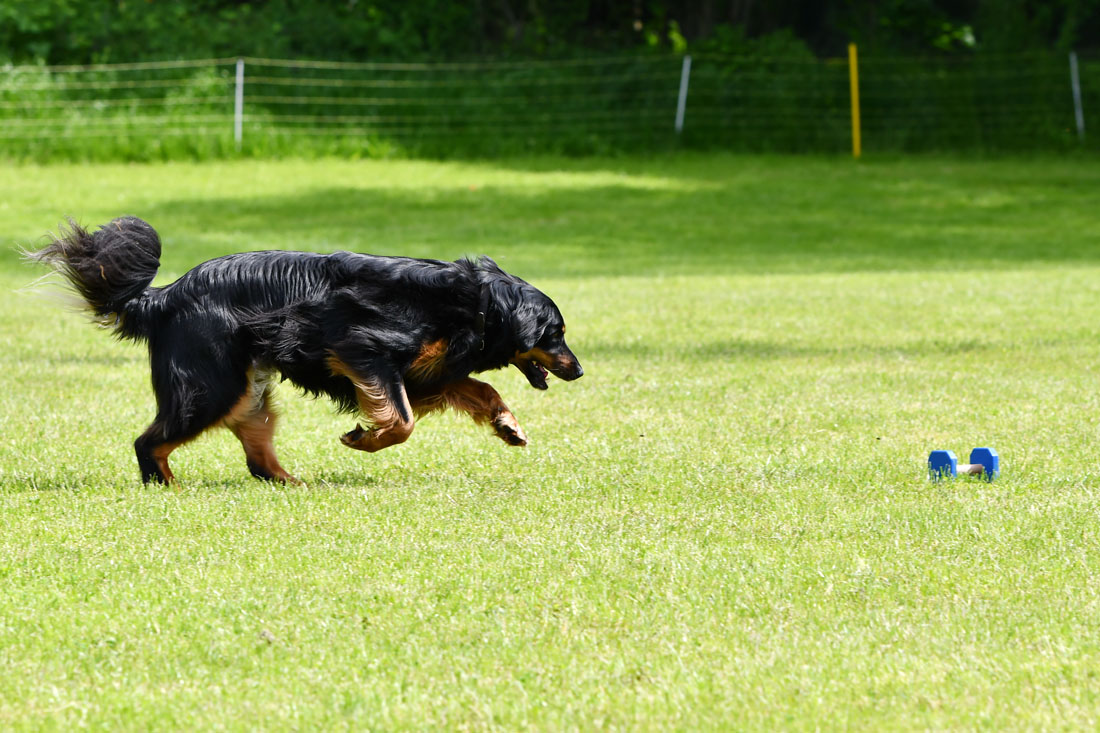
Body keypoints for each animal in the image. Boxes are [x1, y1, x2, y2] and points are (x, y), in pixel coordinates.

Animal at [30, 214, 585, 482]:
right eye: (556, 334)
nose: (579, 371)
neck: (476, 303)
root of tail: (163, 296)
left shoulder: (426, 373)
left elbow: (479, 389)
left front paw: (507, 424)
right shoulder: (364, 349)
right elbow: (402, 422)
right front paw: (364, 439)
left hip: (246, 391)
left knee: (257, 458)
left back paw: (291, 483)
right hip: (209, 388)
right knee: (149, 443)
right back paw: (167, 487)